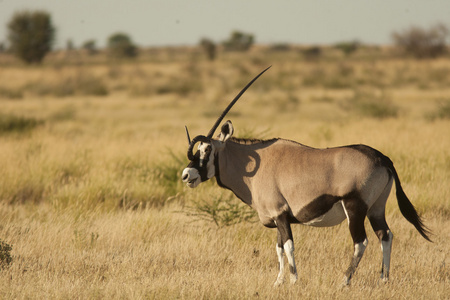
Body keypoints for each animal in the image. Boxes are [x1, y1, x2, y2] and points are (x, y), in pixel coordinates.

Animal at [181, 66, 430, 286]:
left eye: (207, 149)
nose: (186, 175)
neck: (253, 165)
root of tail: (382, 158)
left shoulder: (281, 215)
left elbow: (288, 246)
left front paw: (293, 280)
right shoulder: (276, 219)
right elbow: (278, 249)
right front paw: (278, 282)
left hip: (355, 208)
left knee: (361, 242)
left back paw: (344, 281)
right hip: (376, 208)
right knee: (385, 235)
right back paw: (383, 280)